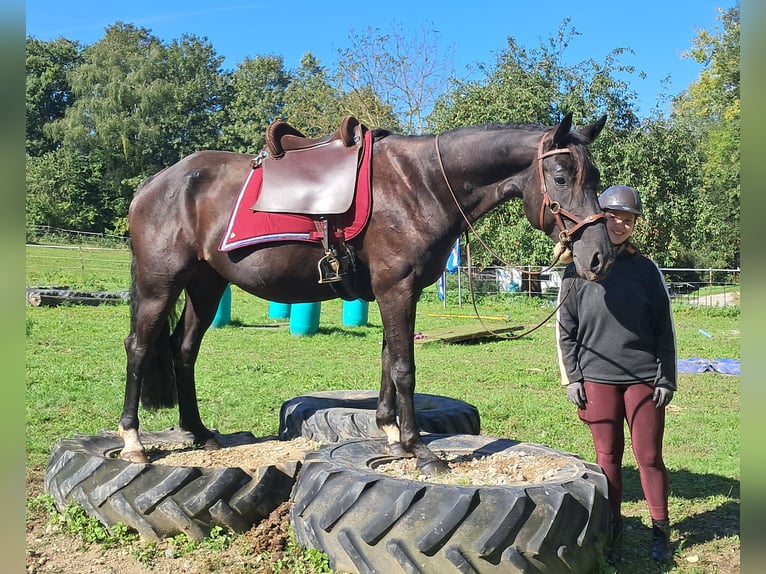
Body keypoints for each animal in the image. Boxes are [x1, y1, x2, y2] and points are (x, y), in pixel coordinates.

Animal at [120, 112, 612, 476]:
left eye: (595, 176)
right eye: (562, 177)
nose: (598, 256)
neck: (421, 184)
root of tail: (154, 183)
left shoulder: (400, 292)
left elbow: (388, 363)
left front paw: (392, 437)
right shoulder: (396, 289)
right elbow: (405, 369)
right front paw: (420, 449)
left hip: (206, 285)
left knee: (183, 350)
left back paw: (199, 431)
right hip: (160, 285)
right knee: (140, 347)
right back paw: (133, 441)